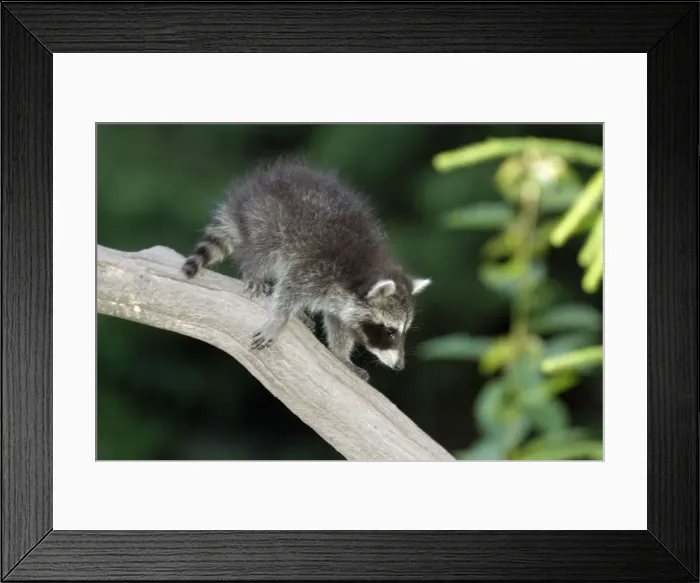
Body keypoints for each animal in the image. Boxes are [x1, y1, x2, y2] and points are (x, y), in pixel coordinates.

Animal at [182, 157, 431, 382]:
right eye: (390, 331)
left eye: (403, 331)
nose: (399, 366)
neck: (360, 274)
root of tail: (247, 193)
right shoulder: (316, 269)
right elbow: (288, 290)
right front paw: (278, 320)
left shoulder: (340, 300)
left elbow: (338, 325)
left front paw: (342, 355)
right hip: (268, 220)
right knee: (264, 251)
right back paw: (255, 274)